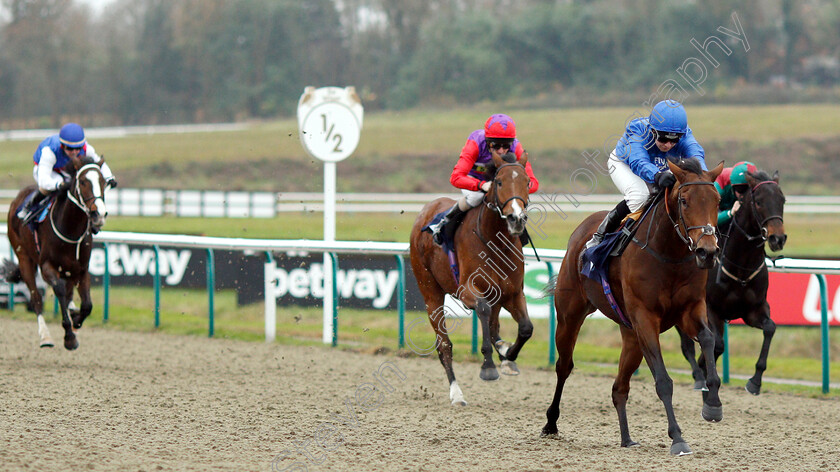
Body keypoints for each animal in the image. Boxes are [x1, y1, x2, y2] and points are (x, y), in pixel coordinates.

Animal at [4, 155, 109, 350]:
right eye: (83, 181)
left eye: (103, 182)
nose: (99, 214)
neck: (71, 228)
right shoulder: (47, 266)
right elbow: (58, 291)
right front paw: (69, 336)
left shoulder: (81, 269)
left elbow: (87, 305)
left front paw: (76, 319)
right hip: (24, 258)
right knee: (36, 298)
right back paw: (45, 336)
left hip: (68, 270)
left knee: (68, 294)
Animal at [410, 151, 536, 406]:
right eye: (499, 182)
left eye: (527, 182)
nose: (517, 218)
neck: (496, 242)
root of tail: (426, 209)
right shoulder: (467, 289)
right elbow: (483, 310)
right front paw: (488, 367)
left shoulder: (513, 292)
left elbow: (526, 327)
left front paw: (508, 354)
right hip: (430, 291)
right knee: (444, 345)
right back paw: (457, 394)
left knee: (495, 325)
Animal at [540, 159, 724, 458]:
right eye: (684, 201)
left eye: (717, 201)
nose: (707, 252)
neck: (669, 254)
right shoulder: (645, 318)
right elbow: (663, 381)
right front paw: (678, 438)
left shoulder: (690, 309)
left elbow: (708, 339)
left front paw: (713, 404)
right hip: (570, 316)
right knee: (564, 366)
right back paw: (551, 423)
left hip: (630, 335)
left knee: (619, 388)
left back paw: (626, 438)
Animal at [676, 169, 788, 394]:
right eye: (759, 202)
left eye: (782, 200)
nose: (777, 238)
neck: (741, 267)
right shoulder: (711, 309)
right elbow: (717, 344)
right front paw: (704, 367)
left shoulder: (754, 310)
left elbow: (770, 328)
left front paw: (755, 381)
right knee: (686, 346)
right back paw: (698, 377)